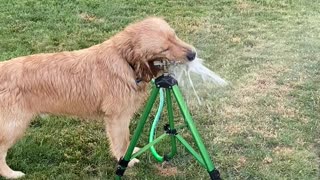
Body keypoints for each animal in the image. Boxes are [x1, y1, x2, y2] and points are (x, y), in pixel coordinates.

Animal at [0, 16, 195, 179]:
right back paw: (11, 174)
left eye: (174, 36)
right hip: (13, 126)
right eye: (164, 48)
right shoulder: (117, 118)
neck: (125, 61)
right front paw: (125, 159)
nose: (193, 54)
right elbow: (122, 141)